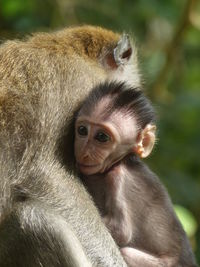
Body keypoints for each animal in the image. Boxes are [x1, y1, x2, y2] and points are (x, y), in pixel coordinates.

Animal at [74, 82, 196, 266]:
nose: (84, 153)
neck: (122, 161)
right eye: (82, 130)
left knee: (127, 252)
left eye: (102, 137)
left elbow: (122, 230)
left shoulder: (119, 178)